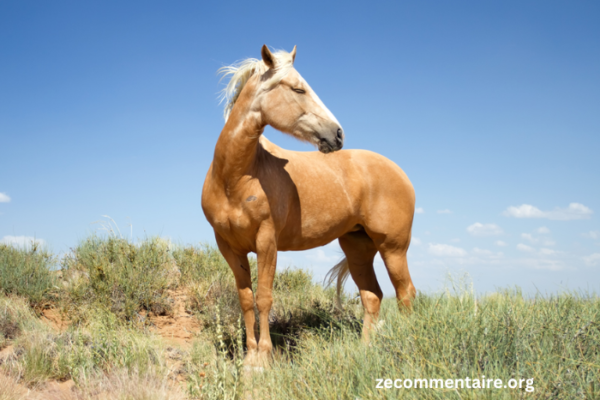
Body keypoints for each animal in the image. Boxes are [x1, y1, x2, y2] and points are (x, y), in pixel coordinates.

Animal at [202, 45, 418, 368]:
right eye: (298, 88)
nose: (338, 134)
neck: (235, 178)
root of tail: (401, 174)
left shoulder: (267, 242)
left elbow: (264, 297)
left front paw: (263, 360)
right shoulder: (230, 247)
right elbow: (246, 299)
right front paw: (249, 358)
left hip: (393, 247)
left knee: (406, 295)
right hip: (358, 248)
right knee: (372, 296)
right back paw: (365, 351)